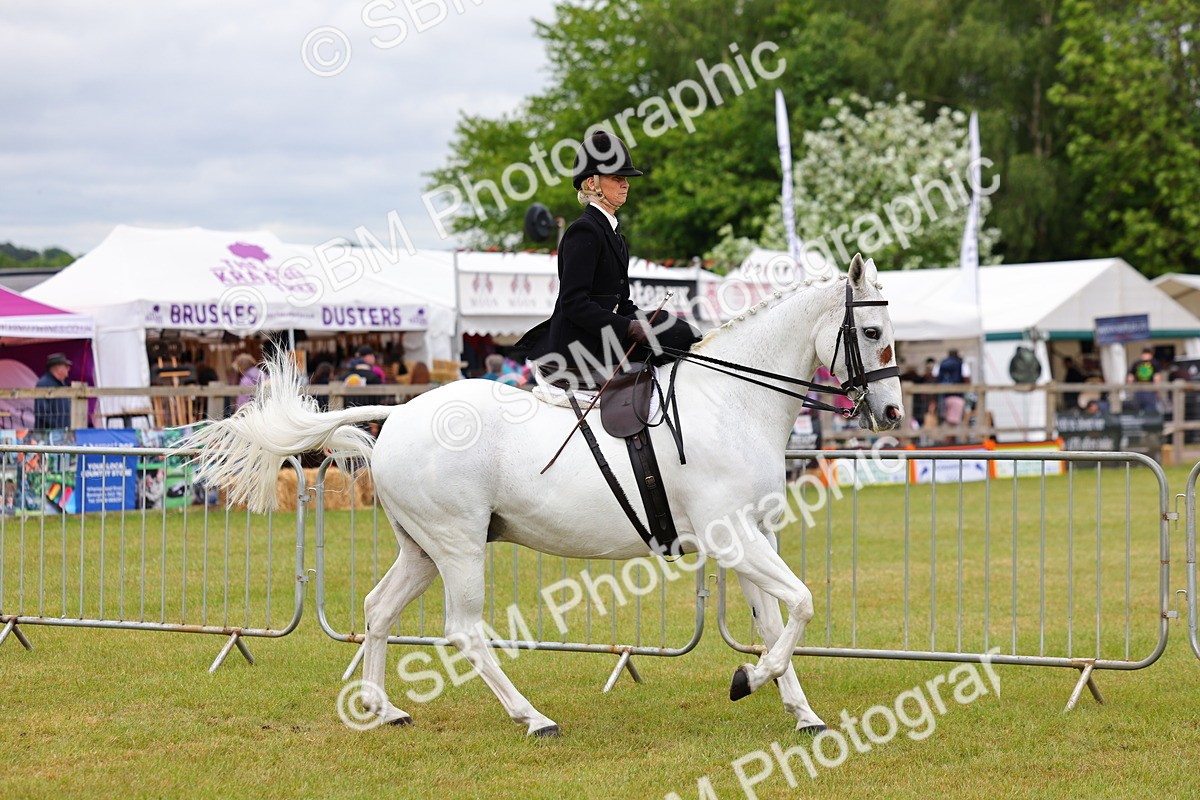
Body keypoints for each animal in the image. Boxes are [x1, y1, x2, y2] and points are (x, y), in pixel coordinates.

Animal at [183, 253, 904, 736]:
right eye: (871, 334)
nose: (893, 414)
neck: (731, 401)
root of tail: (402, 414)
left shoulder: (752, 534)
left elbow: (776, 622)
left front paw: (799, 710)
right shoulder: (734, 537)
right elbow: (801, 605)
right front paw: (747, 681)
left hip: (422, 547)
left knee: (379, 608)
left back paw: (384, 708)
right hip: (458, 544)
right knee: (464, 630)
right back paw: (532, 716)